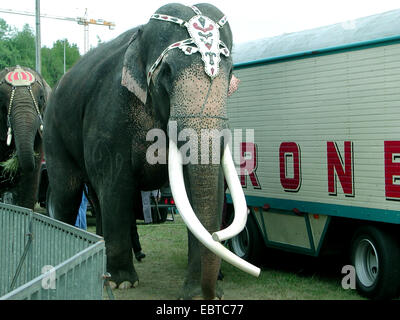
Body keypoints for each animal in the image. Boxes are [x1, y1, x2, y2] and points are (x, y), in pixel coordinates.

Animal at [43, 3, 260, 300]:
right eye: (166, 72)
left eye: (229, 74)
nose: (210, 294)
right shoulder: (110, 116)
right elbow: (117, 185)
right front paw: (122, 283)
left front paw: (197, 294)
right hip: (54, 134)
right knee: (67, 194)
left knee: (96, 198)